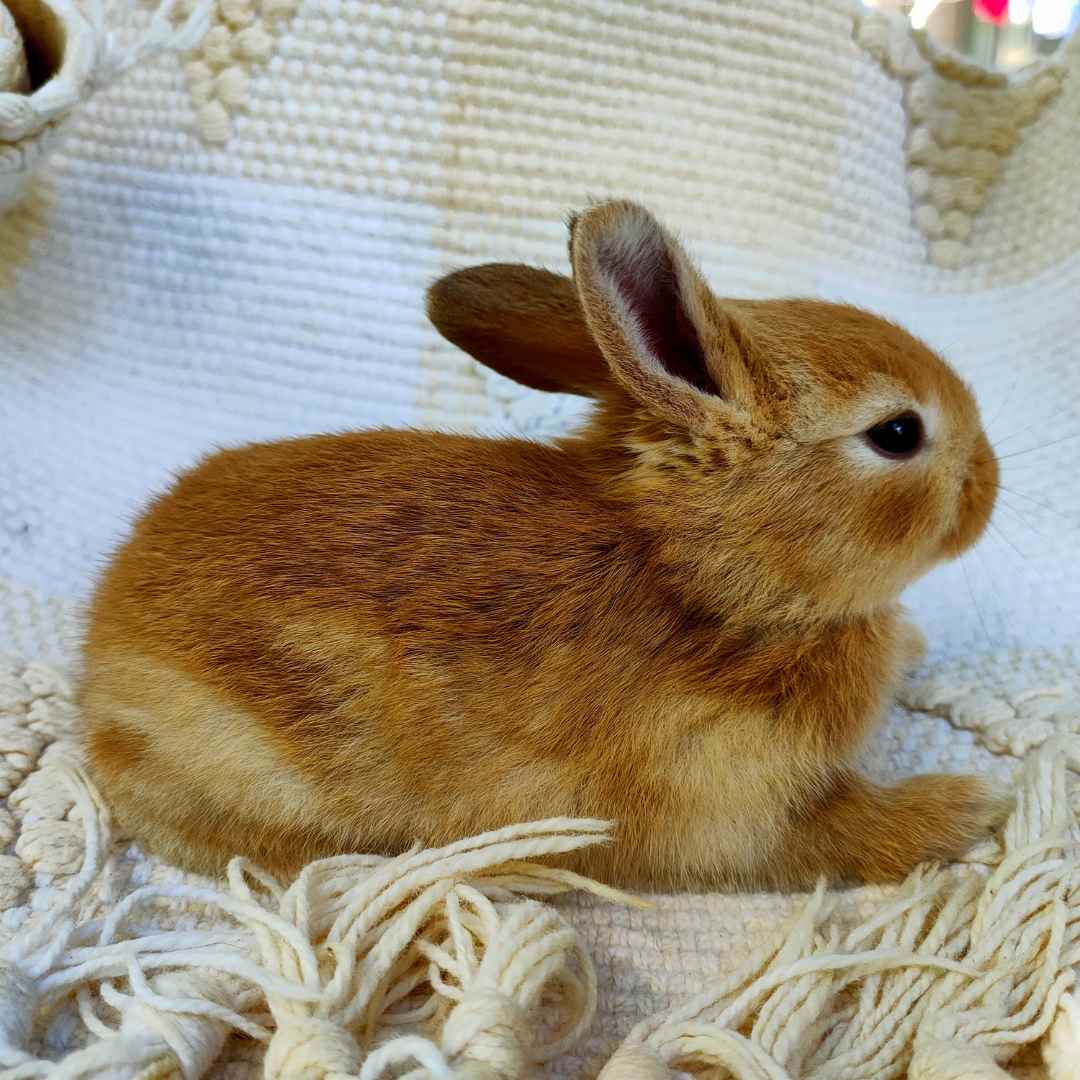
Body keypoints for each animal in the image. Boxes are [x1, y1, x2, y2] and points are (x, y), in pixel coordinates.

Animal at [80, 199, 1006, 890]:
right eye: (897, 434)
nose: (989, 482)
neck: (707, 578)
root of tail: (97, 664)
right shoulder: (726, 803)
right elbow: (832, 835)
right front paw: (963, 810)